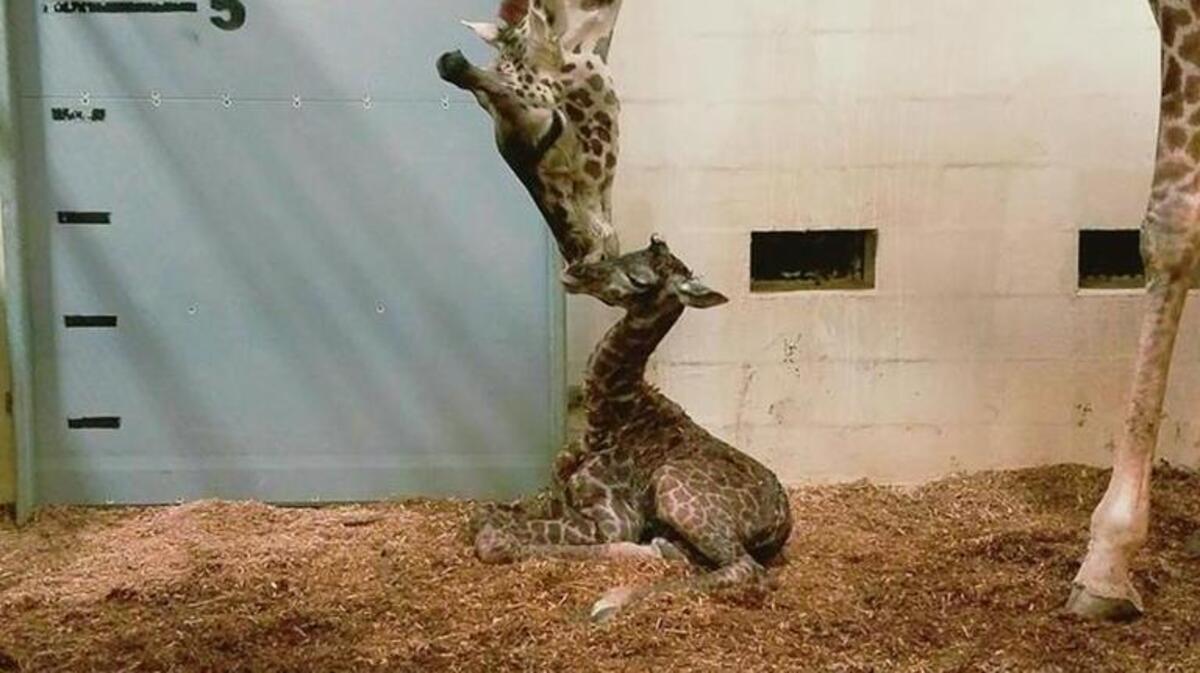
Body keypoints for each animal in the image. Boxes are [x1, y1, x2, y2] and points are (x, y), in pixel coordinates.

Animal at [471, 237, 794, 622]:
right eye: (627, 252)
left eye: (639, 279)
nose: (575, 271)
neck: (605, 422)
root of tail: (781, 523)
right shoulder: (558, 500)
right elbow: (485, 513)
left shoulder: (610, 520)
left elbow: (493, 536)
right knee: (677, 553)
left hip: (671, 485)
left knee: (746, 569)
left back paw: (610, 601)